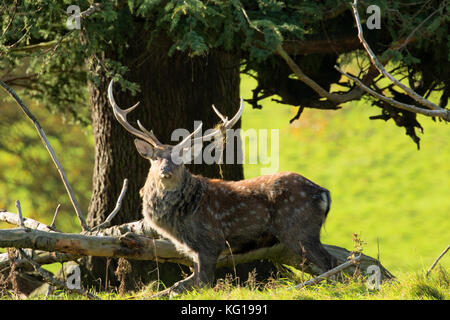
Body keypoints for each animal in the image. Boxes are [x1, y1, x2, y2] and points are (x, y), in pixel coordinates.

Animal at [107, 80, 336, 296]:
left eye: (180, 159)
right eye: (155, 158)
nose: (165, 170)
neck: (181, 219)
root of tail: (324, 193)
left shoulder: (210, 242)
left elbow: (201, 284)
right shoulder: (194, 250)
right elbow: (181, 285)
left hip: (300, 228)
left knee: (329, 262)